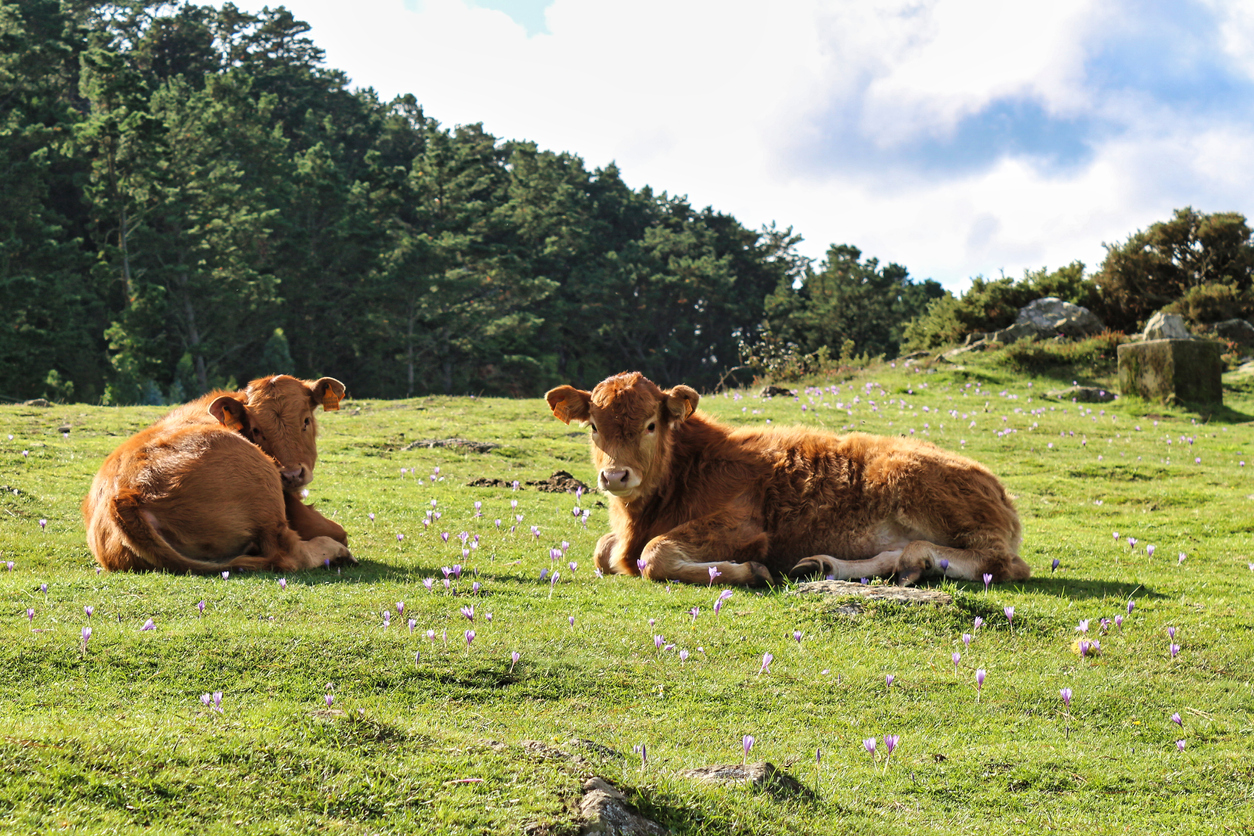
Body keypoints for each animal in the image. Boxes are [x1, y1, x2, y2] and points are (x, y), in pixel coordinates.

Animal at [83, 375, 354, 574]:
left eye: (305, 421)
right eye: (257, 429)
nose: (292, 475)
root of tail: (125, 495)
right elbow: (338, 531)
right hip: (264, 488)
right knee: (289, 553)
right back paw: (337, 553)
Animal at [545, 372, 1030, 587]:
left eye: (650, 424)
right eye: (594, 427)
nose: (615, 474)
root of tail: (1001, 492)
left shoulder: (743, 525)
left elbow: (654, 554)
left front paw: (751, 571)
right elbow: (602, 550)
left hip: (913, 480)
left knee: (999, 562)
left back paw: (917, 559)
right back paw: (828, 565)